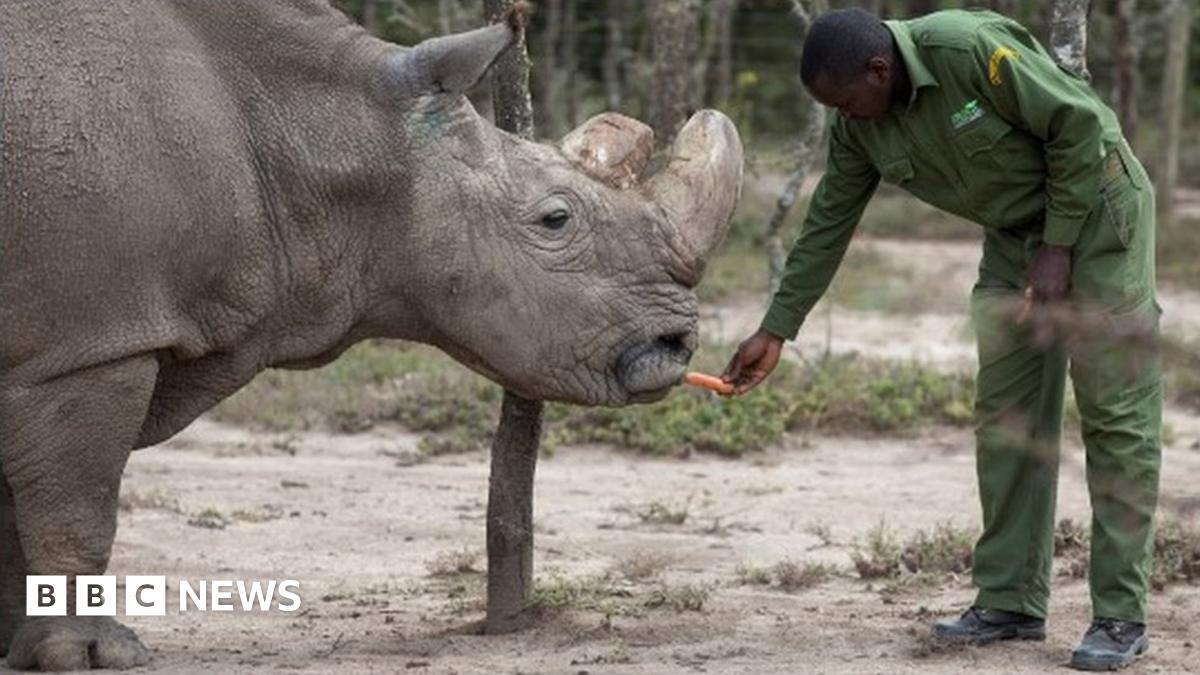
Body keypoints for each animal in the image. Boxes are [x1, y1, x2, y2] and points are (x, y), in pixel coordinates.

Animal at [0, 0, 742, 670]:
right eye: (554, 219)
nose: (679, 343)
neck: (331, 126)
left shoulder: (47, 346)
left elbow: (20, 511)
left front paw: (18, 646)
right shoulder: (88, 342)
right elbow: (79, 507)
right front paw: (90, 655)